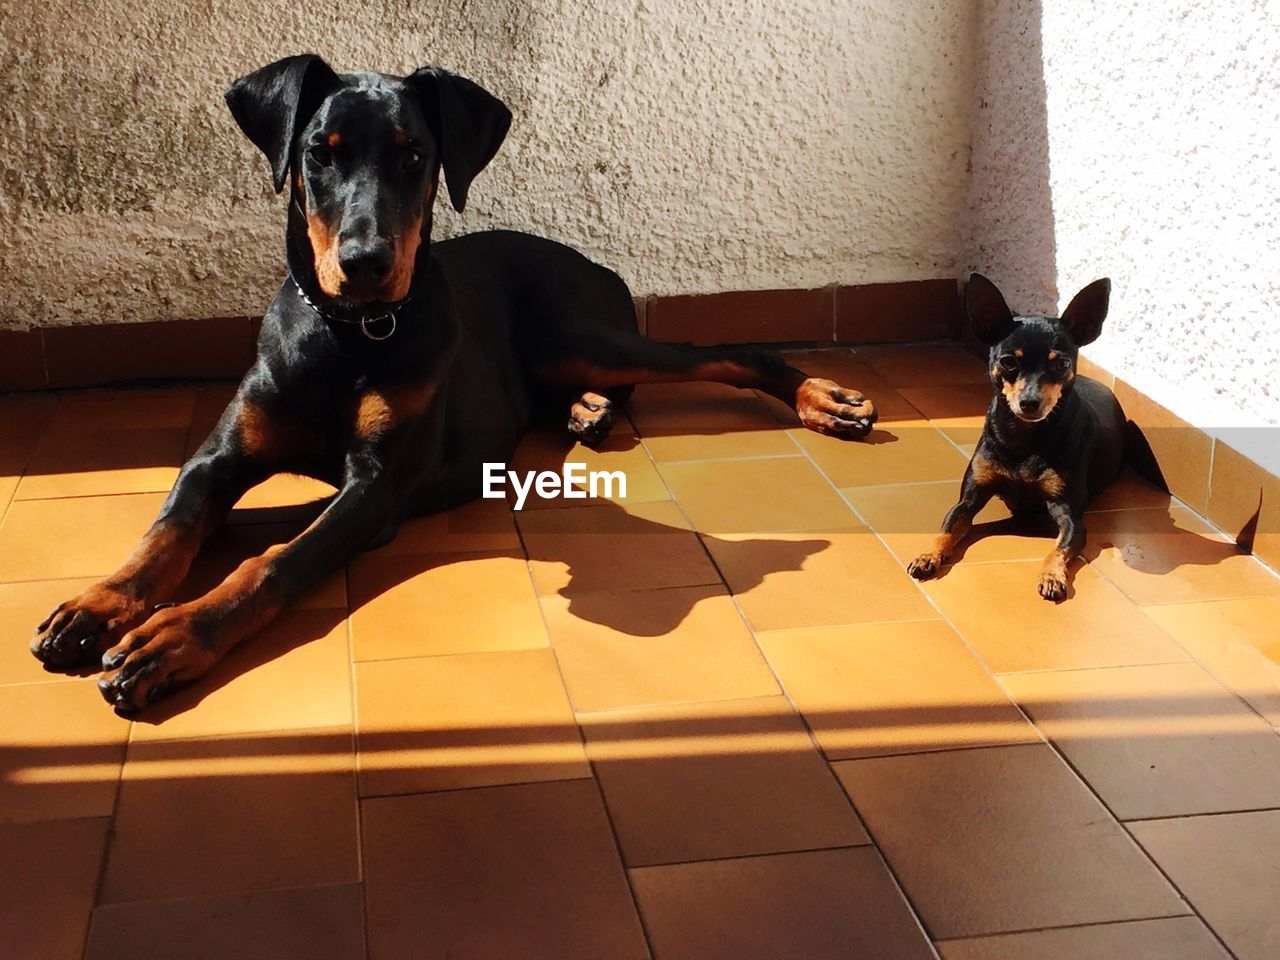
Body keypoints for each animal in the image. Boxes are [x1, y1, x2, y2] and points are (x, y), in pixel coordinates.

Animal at [30, 54, 875, 716]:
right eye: (318, 155)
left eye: (414, 156)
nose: (366, 264)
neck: (348, 334)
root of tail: (594, 262)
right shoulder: (220, 458)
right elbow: (171, 528)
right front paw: (98, 604)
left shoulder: (378, 486)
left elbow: (273, 558)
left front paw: (172, 637)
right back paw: (590, 410)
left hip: (581, 335)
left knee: (726, 352)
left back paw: (821, 398)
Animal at [906, 272, 1126, 601]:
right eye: (1008, 361)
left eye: (1062, 363)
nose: (1030, 402)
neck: (1024, 438)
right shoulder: (969, 499)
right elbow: (946, 527)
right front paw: (928, 555)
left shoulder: (1069, 514)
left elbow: (1059, 548)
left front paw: (1051, 575)